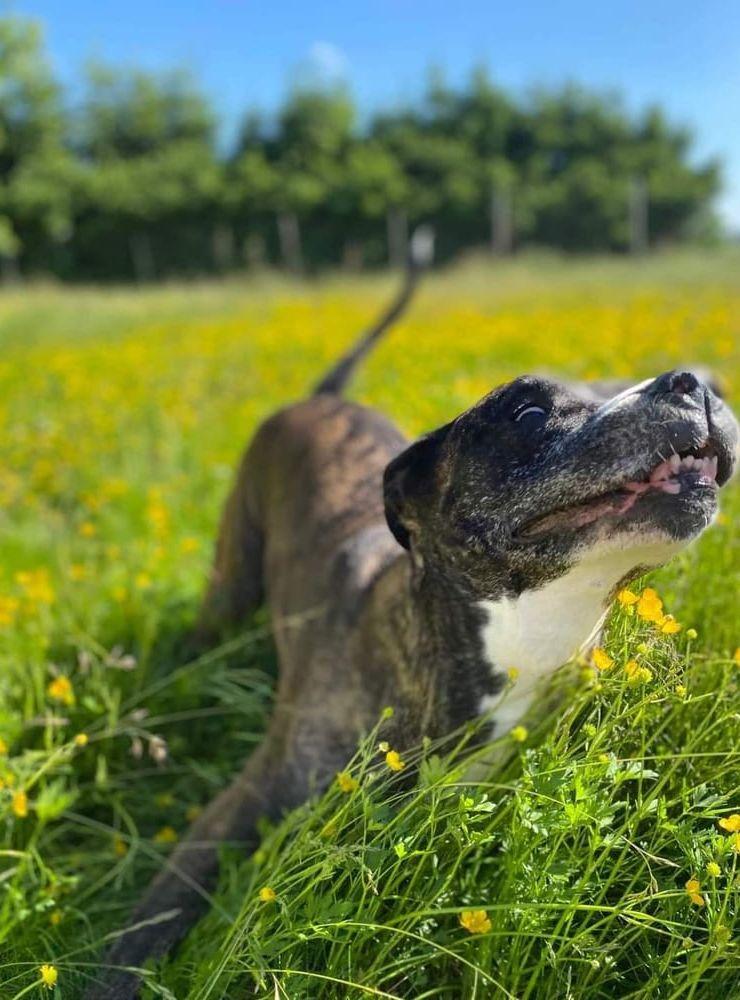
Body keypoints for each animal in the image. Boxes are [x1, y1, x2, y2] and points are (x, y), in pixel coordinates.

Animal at [86, 236, 736, 1000]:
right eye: (529, 414)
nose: (697, 381)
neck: (524, 634)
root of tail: (322, 400)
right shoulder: (235, 812)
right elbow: (145, 931)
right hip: (232, 575)